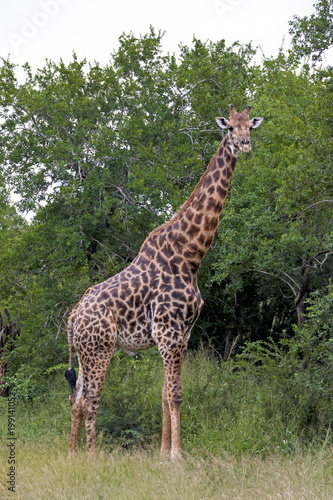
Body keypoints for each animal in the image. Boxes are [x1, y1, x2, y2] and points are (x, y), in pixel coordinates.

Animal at [64, 103, 262, 458]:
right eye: (229, 128)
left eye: (250, 127)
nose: (245, 144)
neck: (190, 255)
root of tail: (73, 316)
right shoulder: (168, 333)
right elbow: (176, 395)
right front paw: (177, 456)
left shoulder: (181, 335)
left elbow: (165, 393)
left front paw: (161, 455)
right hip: (100, 349)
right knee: (90, 401)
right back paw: (92, 457)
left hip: (87, 352)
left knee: (76, 400)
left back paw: (73, 456)